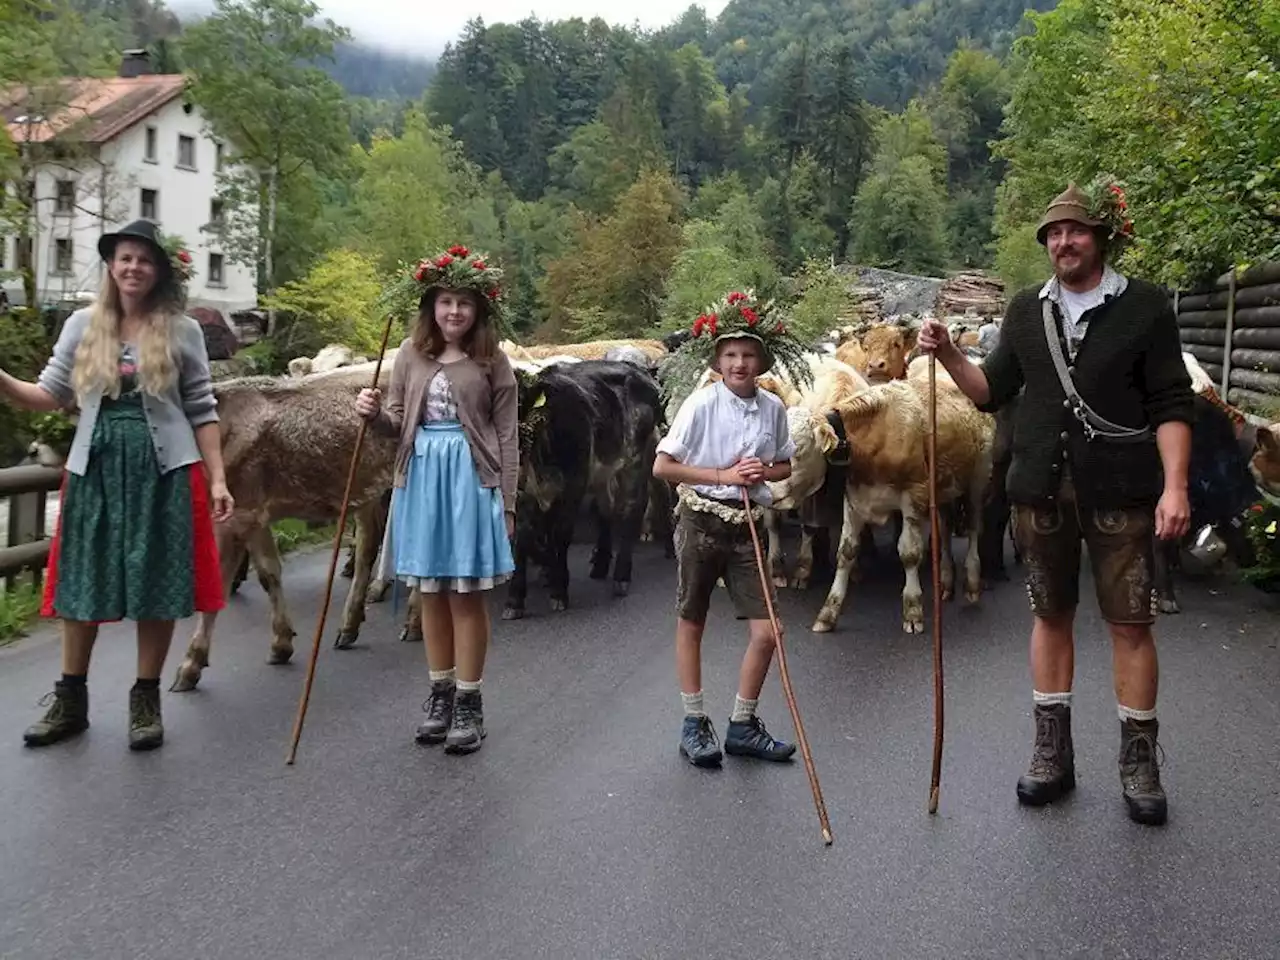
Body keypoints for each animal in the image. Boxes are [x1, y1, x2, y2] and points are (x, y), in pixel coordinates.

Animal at [499, 358, 660, 619]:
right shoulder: (522, 495)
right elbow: (522, 539)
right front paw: (515, 599)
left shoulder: (574, 485)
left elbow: (561, 534)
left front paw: (558, 590)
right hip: (604, 471)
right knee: (605, 509)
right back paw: (601, 563)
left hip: (637, 458)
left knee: (630, 509)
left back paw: (621, 577)